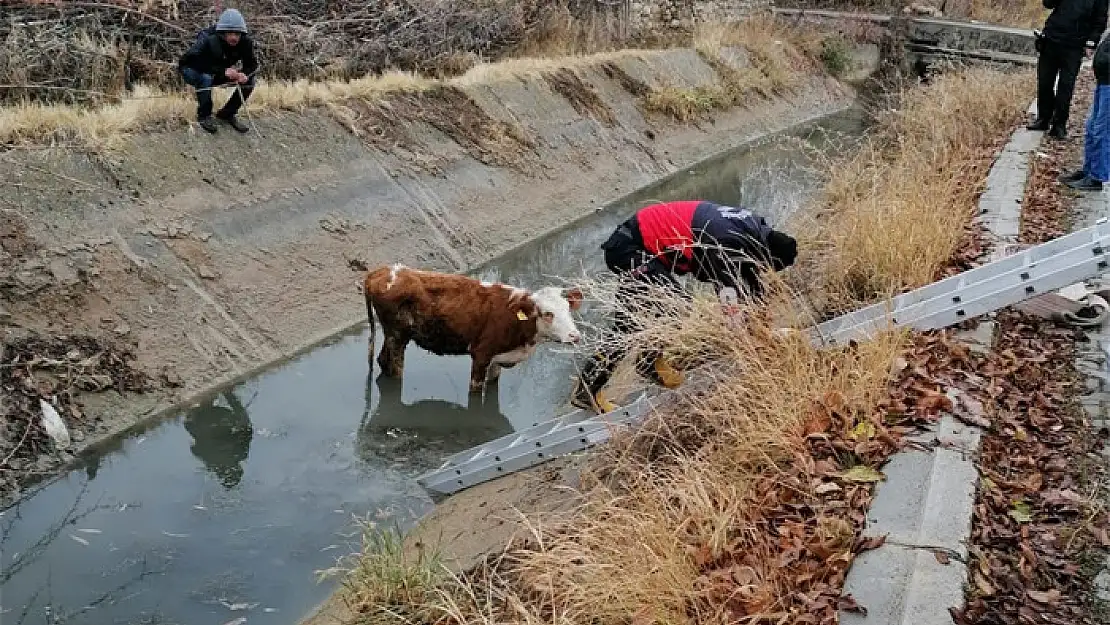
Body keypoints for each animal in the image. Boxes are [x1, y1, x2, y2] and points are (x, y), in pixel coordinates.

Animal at [366, 266, 590, 392]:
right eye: (547, 313)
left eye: (568, 309)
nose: (574, 335)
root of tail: (381, 271)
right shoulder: (481, 356)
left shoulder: (498, 360)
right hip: (397, 336)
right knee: (394, 366)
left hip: (392, 336)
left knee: (382, 360)